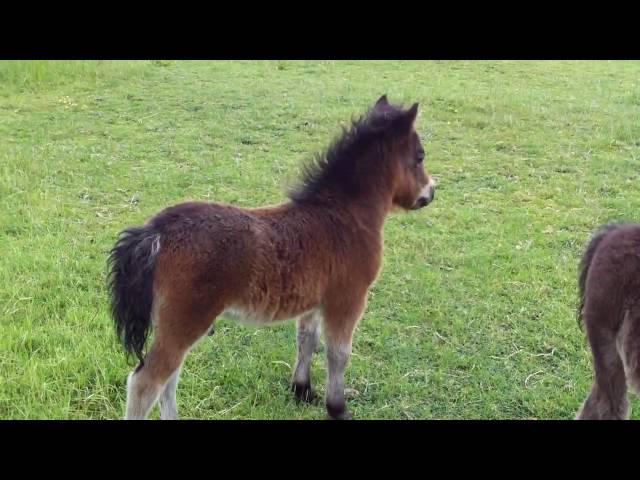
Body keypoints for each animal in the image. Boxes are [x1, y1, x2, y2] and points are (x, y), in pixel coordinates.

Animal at [110, 96, 438, 420]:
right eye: (420, 155)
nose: (431, 192)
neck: (345, 216)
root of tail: (156, 231)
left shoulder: (314, 300)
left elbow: (307, 339)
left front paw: (302, 390)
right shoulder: (348, 298)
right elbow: (338, 353)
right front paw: (337, 408)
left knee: (169, 377)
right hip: (184, 320)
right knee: (146, 382)